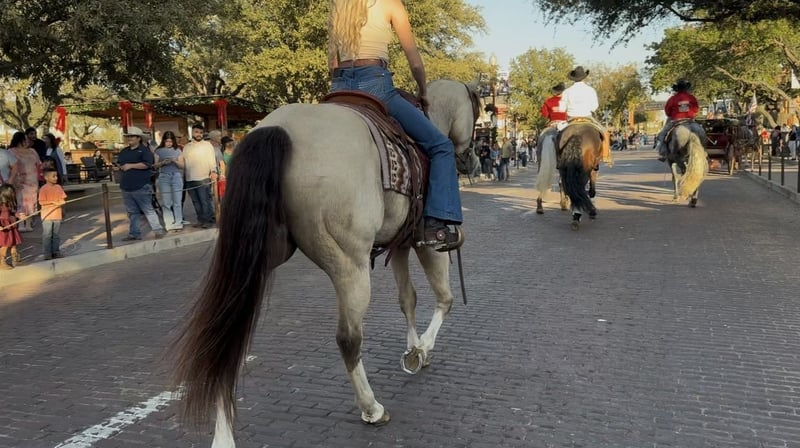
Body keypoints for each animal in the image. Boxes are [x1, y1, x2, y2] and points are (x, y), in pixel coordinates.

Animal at [172, 79, 479, 447]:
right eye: (477, 114)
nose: (473, 160)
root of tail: (279, 128)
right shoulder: (426, 244)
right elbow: (444, 298)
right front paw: (422, 350)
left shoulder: (401, 244)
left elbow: (407, 299)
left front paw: (412, 348)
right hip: (350, 266)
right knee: (349, 339)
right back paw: (371, 407)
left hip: (256, 256)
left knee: (227, 335)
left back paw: (223, 435)